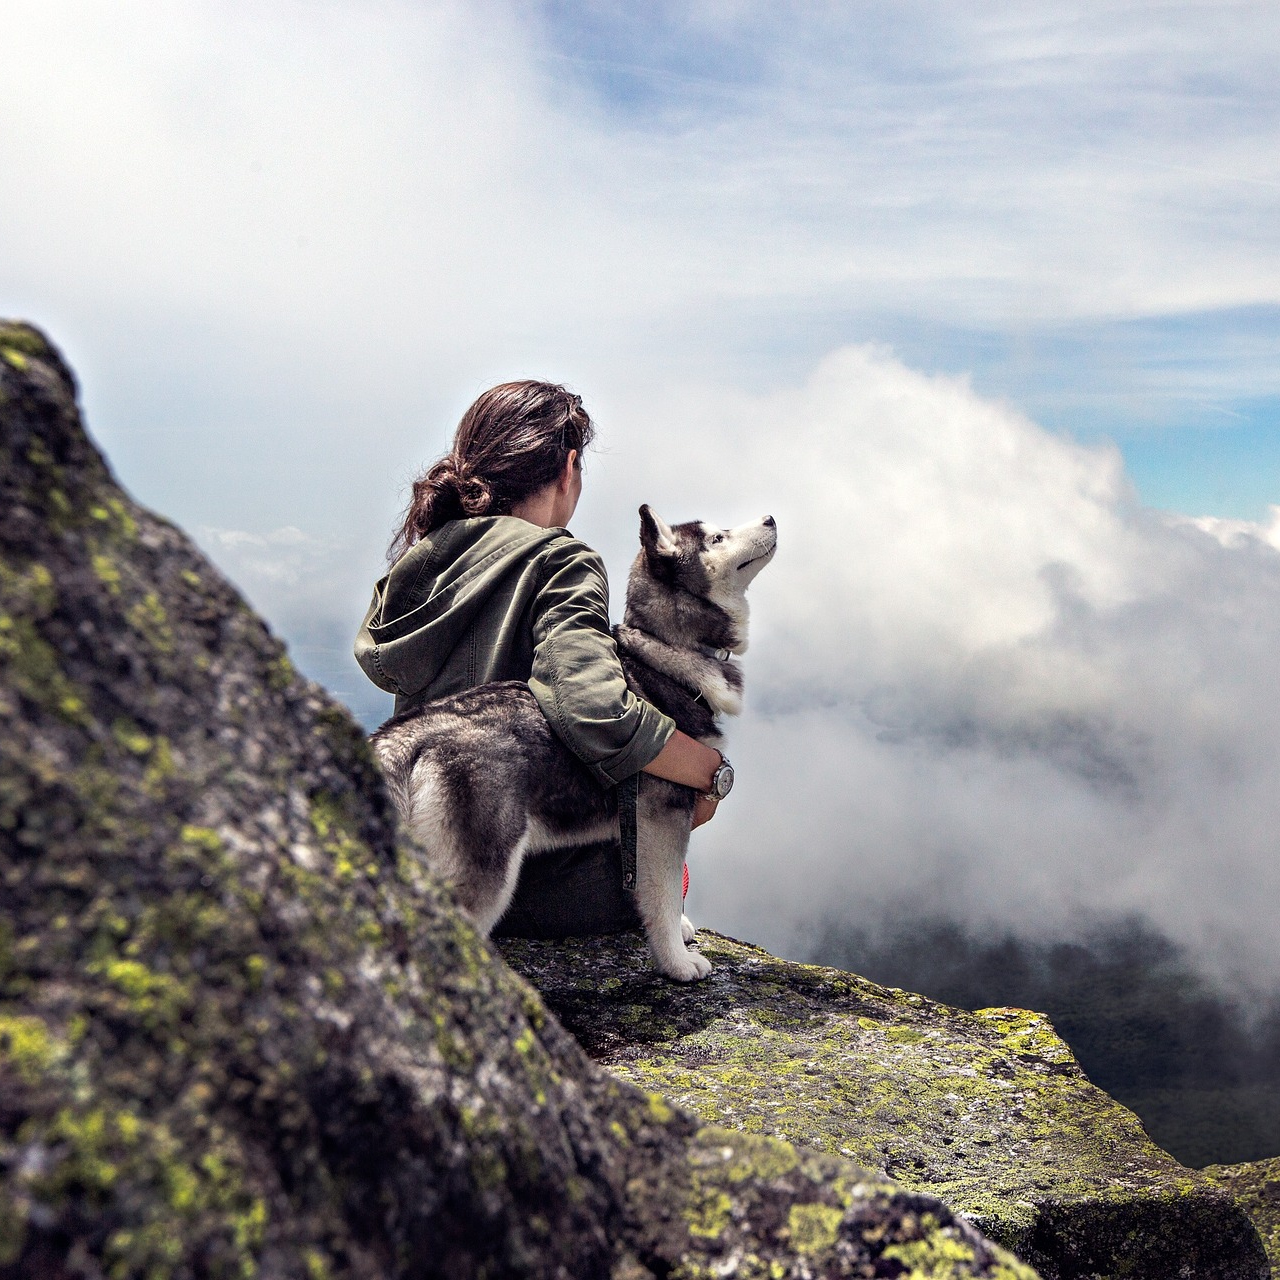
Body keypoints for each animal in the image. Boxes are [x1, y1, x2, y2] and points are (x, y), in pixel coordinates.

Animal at [366, 501, 773, 977]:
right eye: (717, 538)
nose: (771, 519)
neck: (665, 650)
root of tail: (405, 735)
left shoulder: (636, 829)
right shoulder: (663, 816)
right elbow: (665, 894)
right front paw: (675, 961)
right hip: (485, 871)